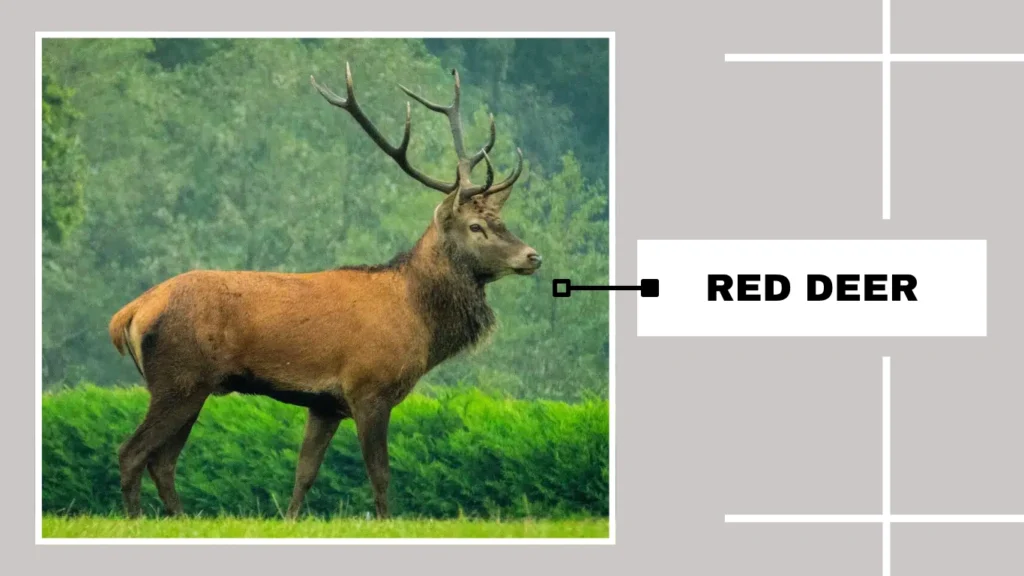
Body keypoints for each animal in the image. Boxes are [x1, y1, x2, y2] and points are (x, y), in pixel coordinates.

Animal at [106, 61, 540, 520]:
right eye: (476, 226)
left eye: (501, 221)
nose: (532, 256)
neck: (419, 321)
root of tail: (129, 313)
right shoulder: (369, 388)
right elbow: (380, 474)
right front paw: (386, 522)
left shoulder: (324, 403)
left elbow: (305, 472)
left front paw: (291, 519)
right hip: (179, 379)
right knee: (132, 452)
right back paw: (137, 519)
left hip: (191, 385)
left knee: (163, 461)